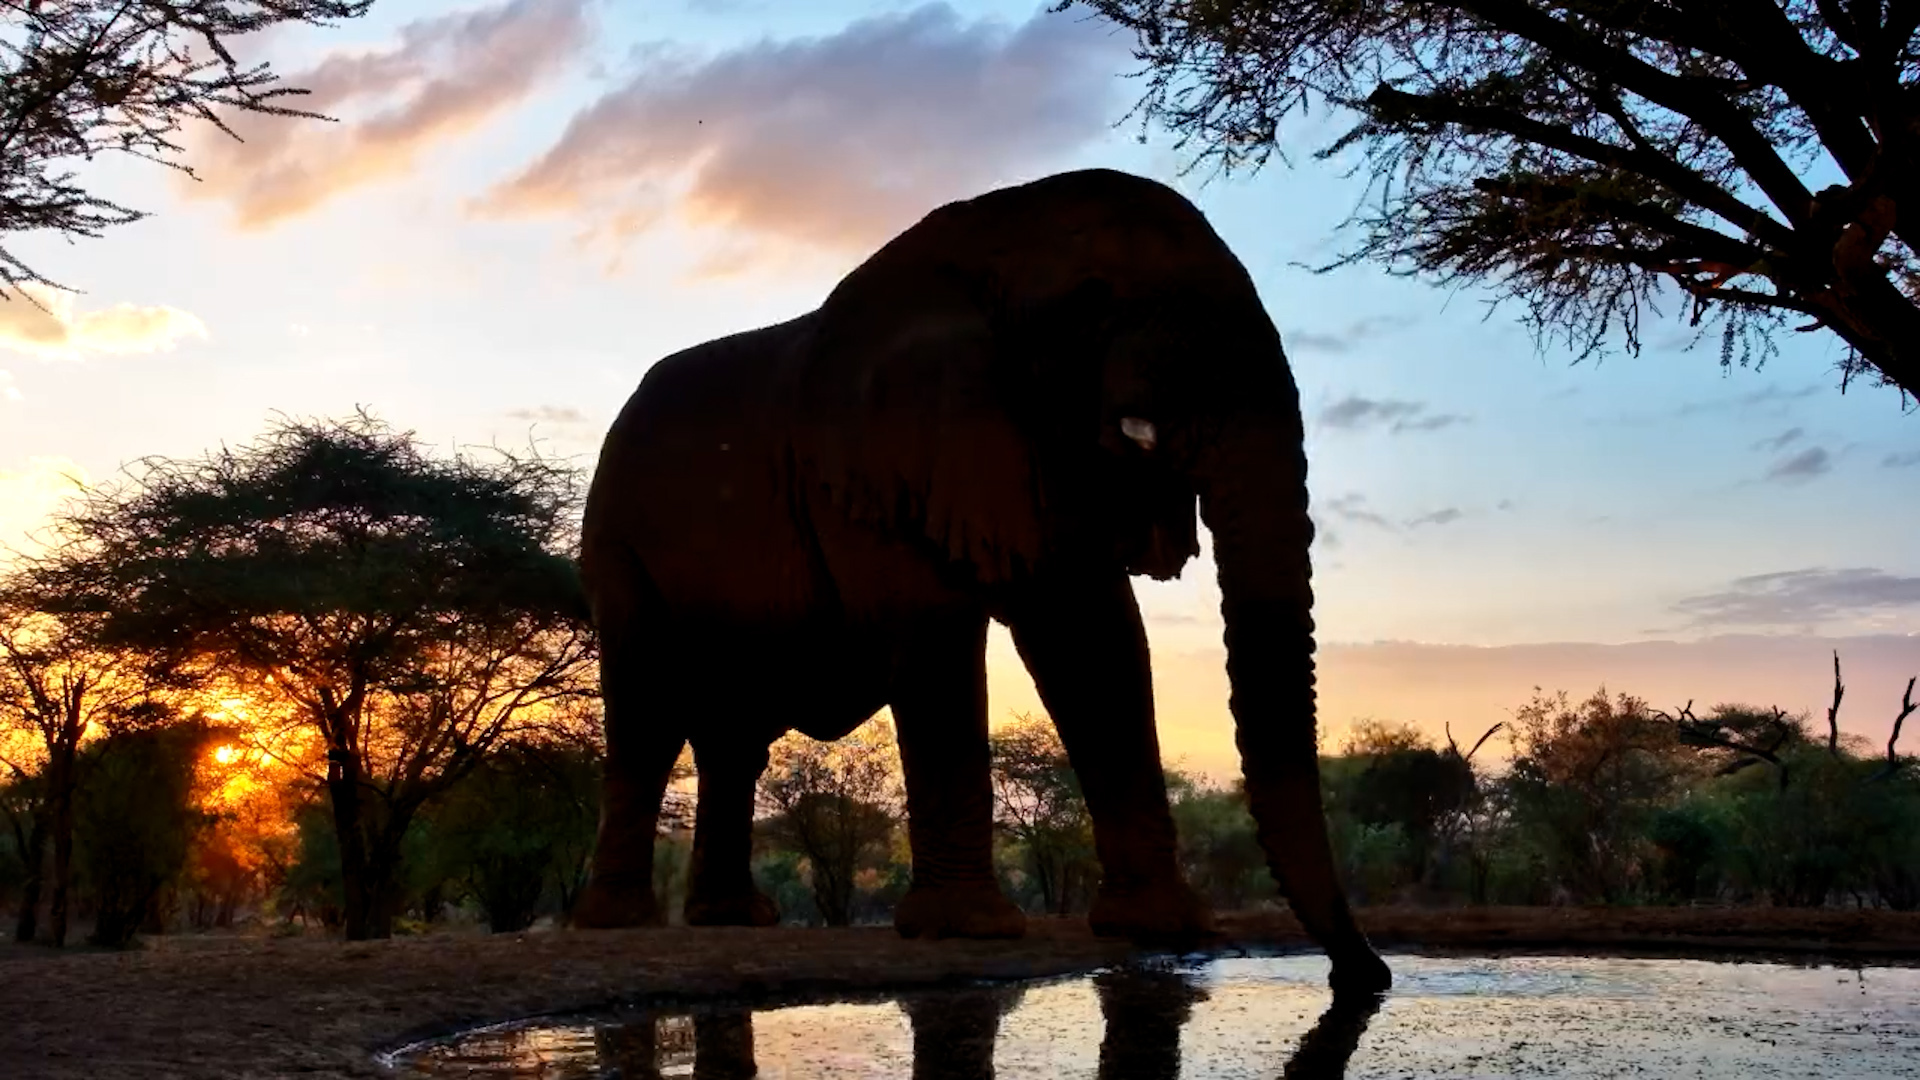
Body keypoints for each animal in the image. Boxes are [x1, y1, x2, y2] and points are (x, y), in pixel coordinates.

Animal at [571, 166, 1391, 994]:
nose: (1366, 974)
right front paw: (971, 930)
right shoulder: (875, 465)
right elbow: (937, 630)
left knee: (732, 739)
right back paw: (620, 922)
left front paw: (1165, 928)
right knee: (647, 715)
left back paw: (735, 919)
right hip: (616, 544)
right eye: (1092, 303)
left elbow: (1094, 639)